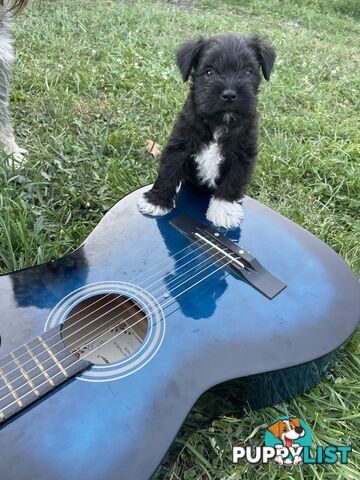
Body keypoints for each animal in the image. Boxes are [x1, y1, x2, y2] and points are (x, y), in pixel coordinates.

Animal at [138, 32, 276, 230]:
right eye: (209, 72)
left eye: (248, 71)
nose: (229, 94)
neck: (218, 123)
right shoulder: (179, 145)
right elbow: (169, 170)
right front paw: (157, 201)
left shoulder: (243, 156)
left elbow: (233, 181)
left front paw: (224, 210)